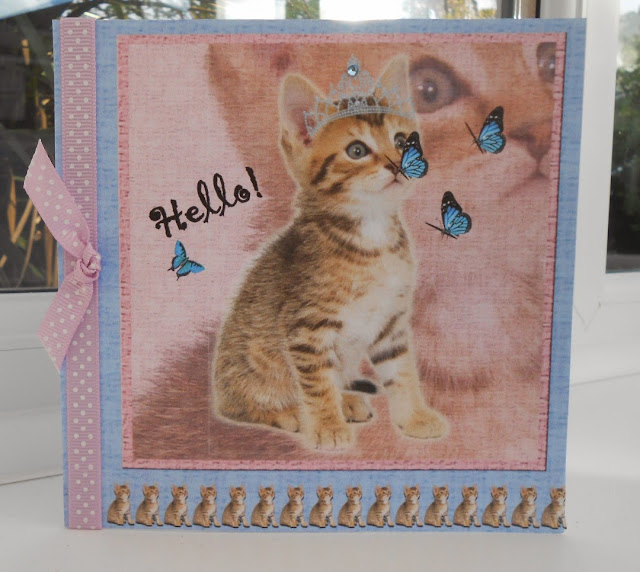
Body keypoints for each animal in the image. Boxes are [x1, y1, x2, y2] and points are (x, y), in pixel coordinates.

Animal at [210, 55, 447, 451]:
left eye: (402, 141)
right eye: (357, 151)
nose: (398, 164)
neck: (371, 237)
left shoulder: (391, 322)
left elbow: (401, 371)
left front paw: (414, 416)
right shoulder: (307, 328)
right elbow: (317, 384)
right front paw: (326, 426)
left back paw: (347, 400)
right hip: (245, 374)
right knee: (239, 406)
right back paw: (291, 413)